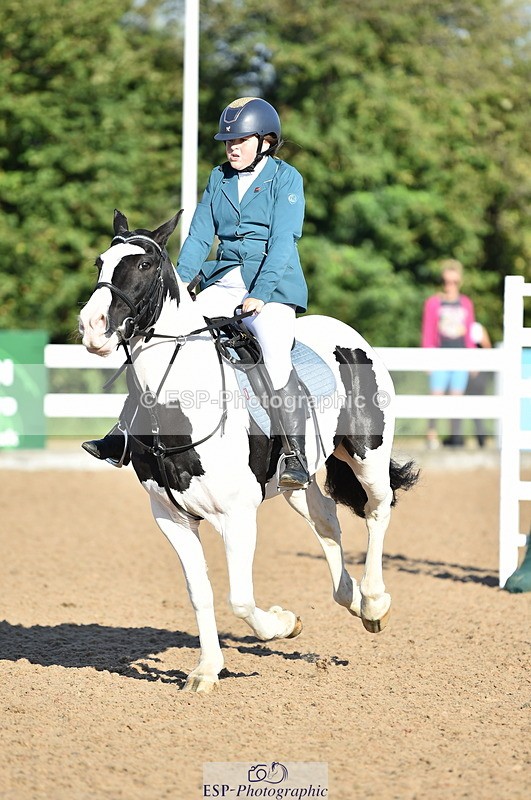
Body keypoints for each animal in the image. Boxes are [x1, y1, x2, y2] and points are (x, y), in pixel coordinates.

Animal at [79, 210, 418, 693]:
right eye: (100, 263)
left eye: (144, 265)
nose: (93, 327)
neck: (179, 406)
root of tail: (350, 335)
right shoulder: (172, 518)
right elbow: (200, 593)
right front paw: (206, 670)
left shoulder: (237, 516)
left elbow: (239, 599)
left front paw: (283, 623)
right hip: (296, 482)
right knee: (327, 521)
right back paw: (350, 596)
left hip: (367, 455)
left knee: (377, 509)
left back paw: (372, 602)